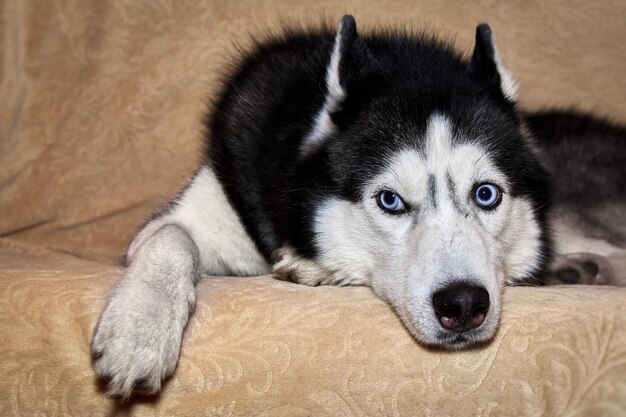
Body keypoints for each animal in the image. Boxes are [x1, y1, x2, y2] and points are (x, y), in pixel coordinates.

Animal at [90, 15, 620, 396]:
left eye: (486, 194)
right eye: (390, 201)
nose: (464, 304)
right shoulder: (194, 212)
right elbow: (171, 236)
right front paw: (138, 334)